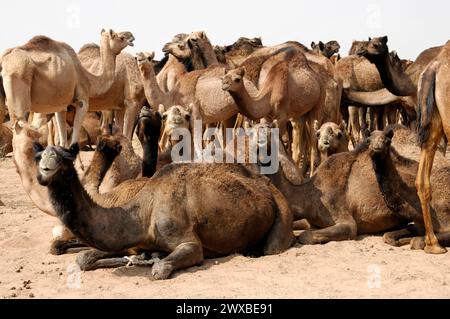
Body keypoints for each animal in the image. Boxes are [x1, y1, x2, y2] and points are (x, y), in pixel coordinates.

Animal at [36, 141, 296, 278]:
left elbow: (161, 268)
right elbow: (84, 257)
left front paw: (153, 261)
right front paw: (142, 258)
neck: (144, 211)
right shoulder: (132, 240)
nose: (45, 169)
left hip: (282, 209)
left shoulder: (187, 240)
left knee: (273, 247)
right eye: (39, 156)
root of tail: (266, 184)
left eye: (63, 158)